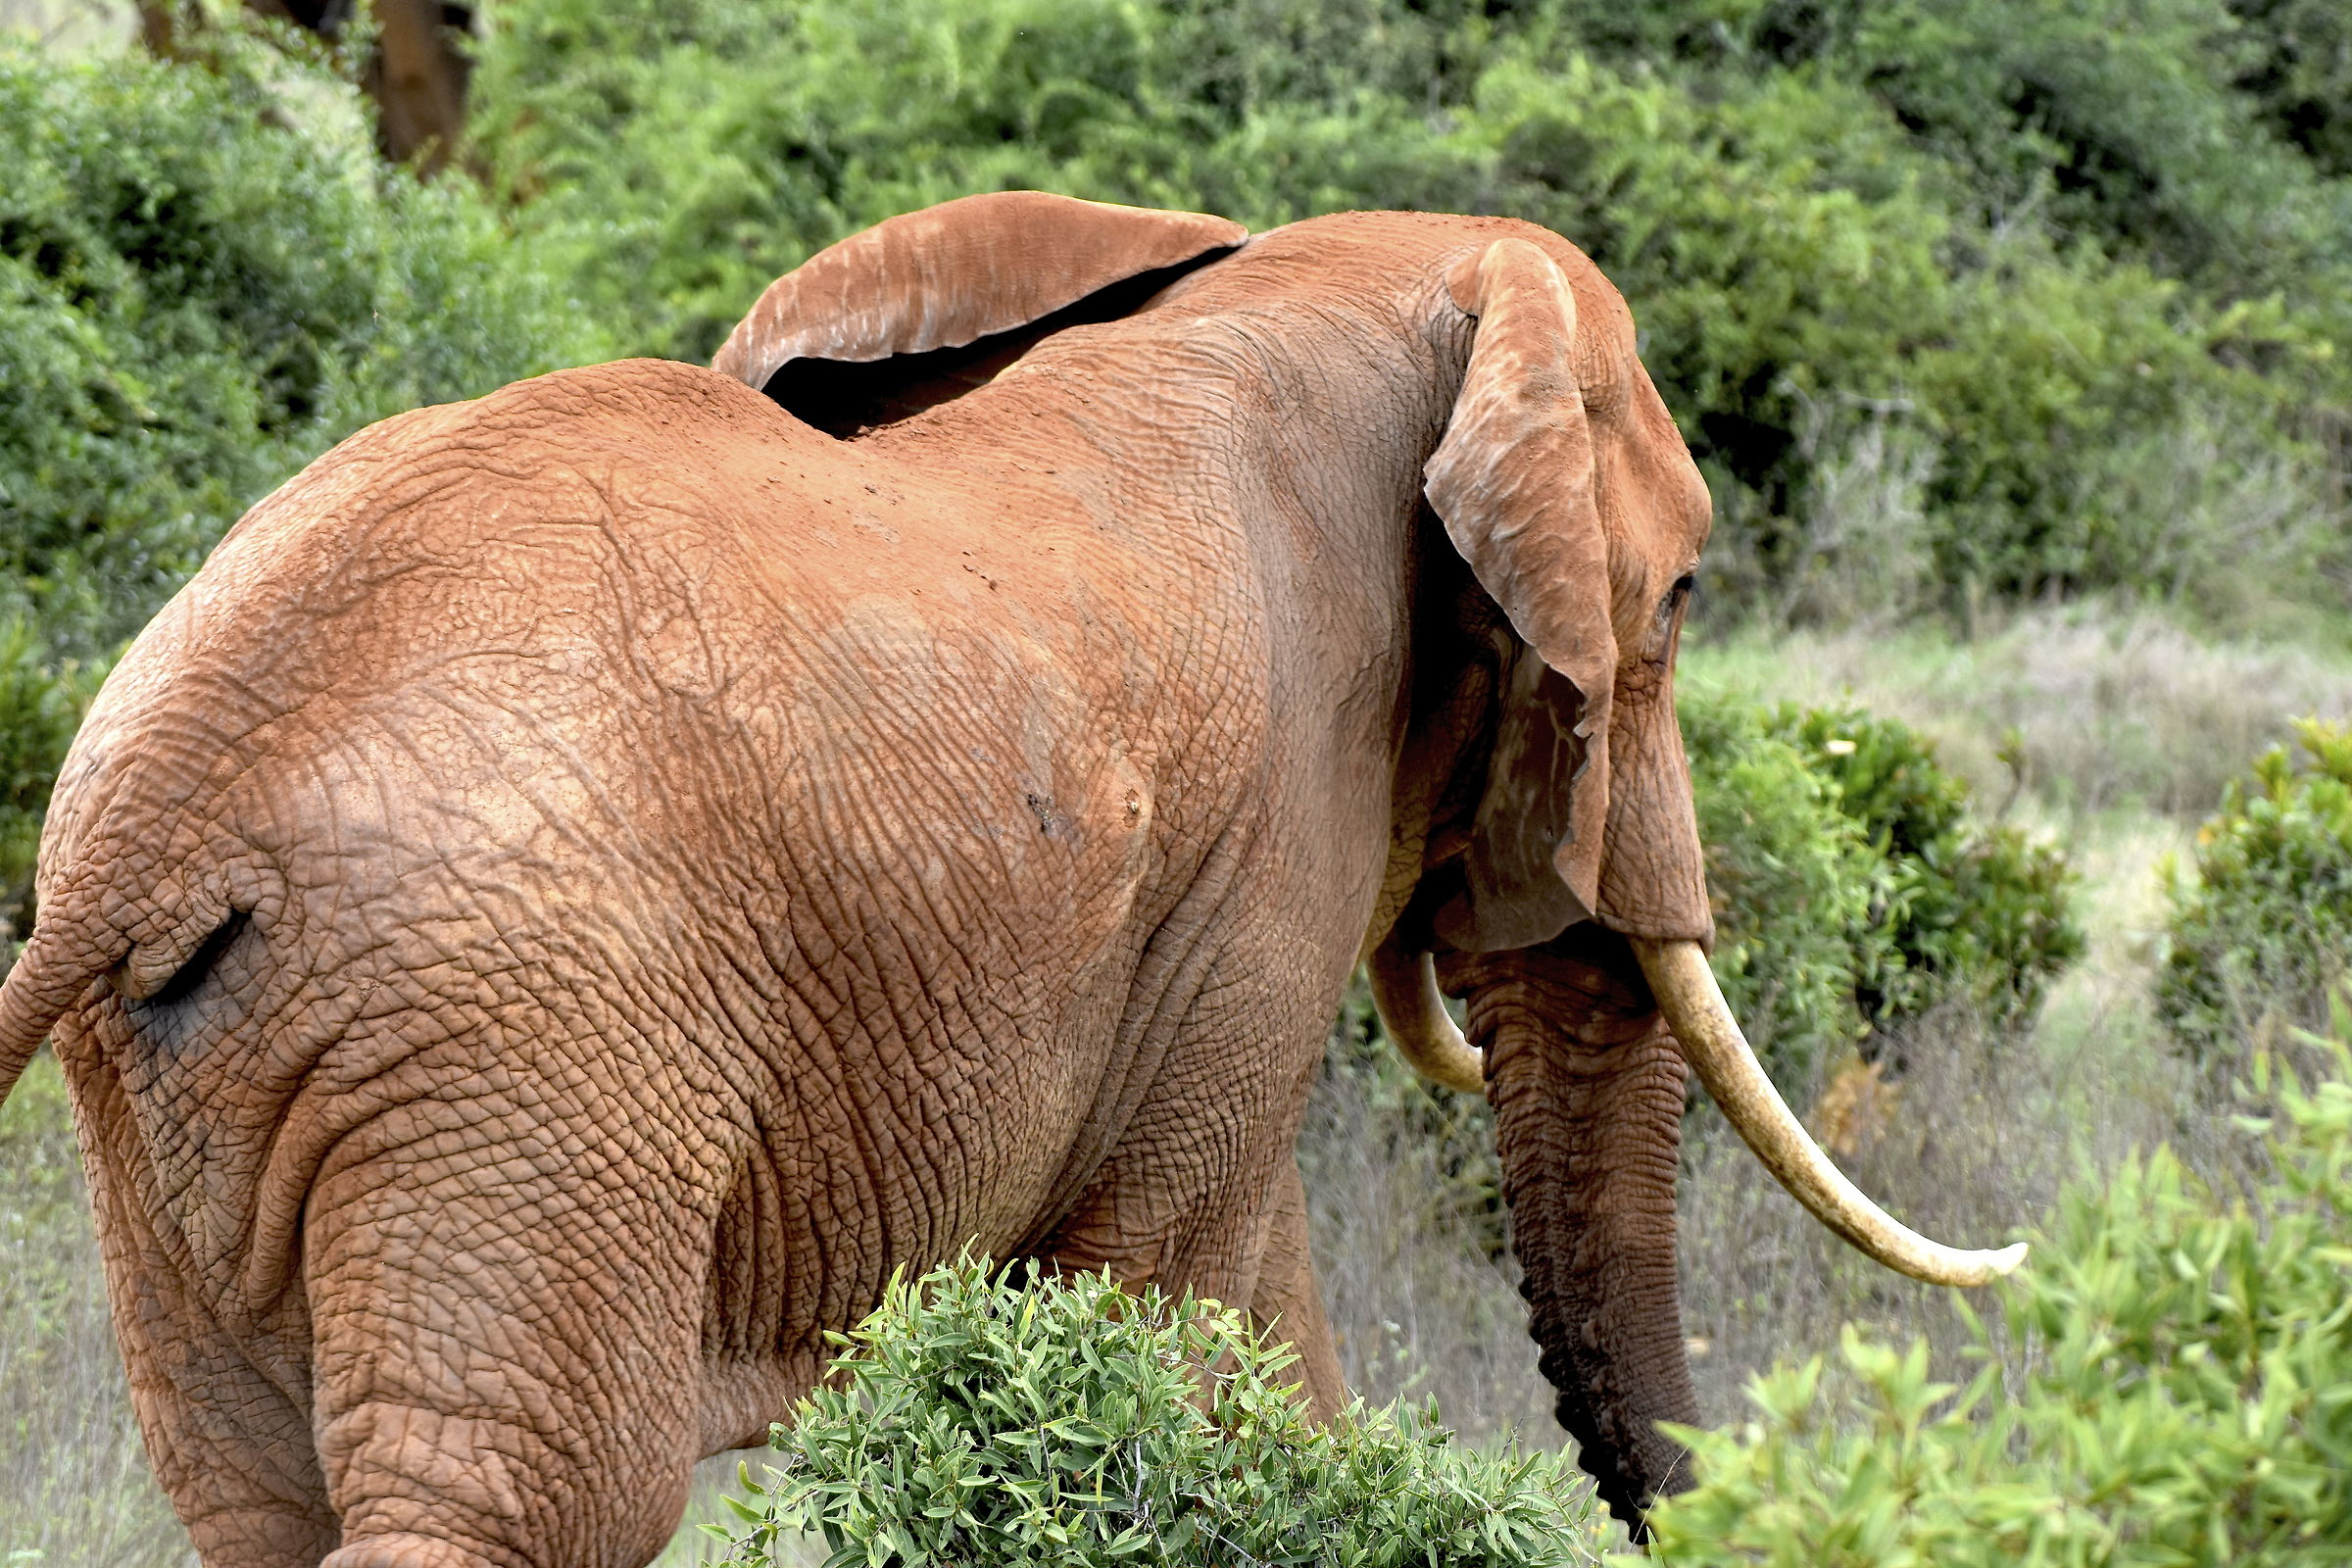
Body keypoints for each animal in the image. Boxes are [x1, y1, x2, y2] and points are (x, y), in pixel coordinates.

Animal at [0, 191, 2022, 1567]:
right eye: (1675, 604)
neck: (1334, 274)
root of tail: (158, 804)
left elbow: (1260, 1329)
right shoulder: (1264, 844)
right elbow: (1180, 1303)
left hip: (216, 1097)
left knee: (254, 1500)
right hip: (520, 1046)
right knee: (535, 1497)